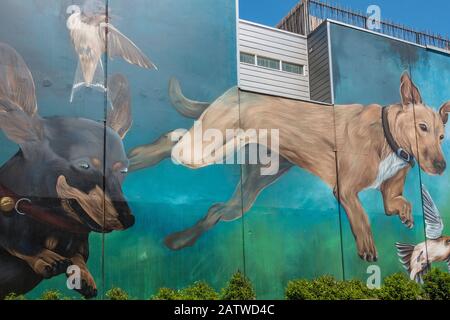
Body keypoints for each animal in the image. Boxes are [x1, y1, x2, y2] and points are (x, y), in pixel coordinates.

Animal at [0, 42, 134, 298]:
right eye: (84, 166)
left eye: (123, 171)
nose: (129, 219)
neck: (55, 223)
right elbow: (17, 243)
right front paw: (45, 257)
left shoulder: (80, 241)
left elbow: (79, 257)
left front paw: (83, 275)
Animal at [129, 73, 450, 262]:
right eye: (422, 127)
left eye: (442, 136)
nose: (441, 166)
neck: (388, 137)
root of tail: (234, 89)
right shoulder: (345, 189)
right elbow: (361, 218)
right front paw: (367, 247)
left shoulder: (389, 190)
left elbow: (397, 202)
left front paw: (406, 216)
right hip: (205, 146)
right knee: (175, 141)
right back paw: (138, 156)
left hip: (247, 192)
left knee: (215, 210)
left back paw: (179, 240)